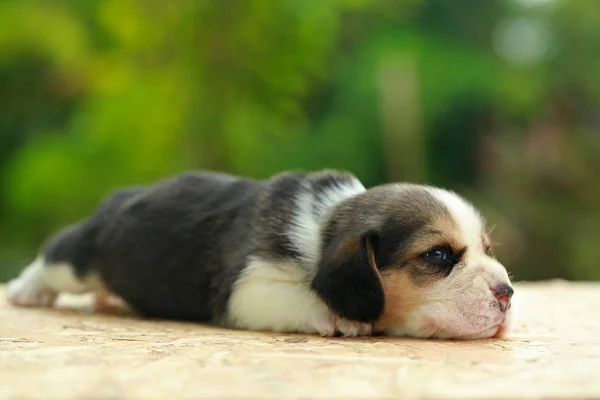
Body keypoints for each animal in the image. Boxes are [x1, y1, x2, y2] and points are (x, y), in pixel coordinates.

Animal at [4, 169, 512, 338]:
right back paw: (26, 291)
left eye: (487, 249)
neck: (323, 226)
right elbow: (301, 295)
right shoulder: (246, 287)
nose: (507, 294)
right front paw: (337, 315)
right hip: (80, 258)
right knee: (52, 257)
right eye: (438, 256)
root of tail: (122, 196)